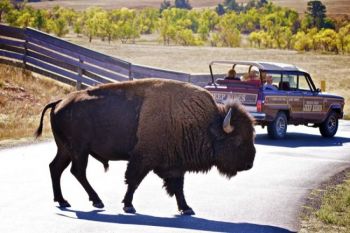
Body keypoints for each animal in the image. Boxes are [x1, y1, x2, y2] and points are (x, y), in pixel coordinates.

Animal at [34, 78, 254, 215]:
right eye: (238, 140)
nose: (249, 163)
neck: (205, 123)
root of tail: (59, 102)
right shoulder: (143, 159)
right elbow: (133, 181)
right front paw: (128, 206)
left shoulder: (175, 164)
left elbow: (178, 187)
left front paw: (186, 208)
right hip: (79, 150)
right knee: (77, 171)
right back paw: (96, 200)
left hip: (65, 149)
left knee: (56, 168)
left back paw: (63, 201)